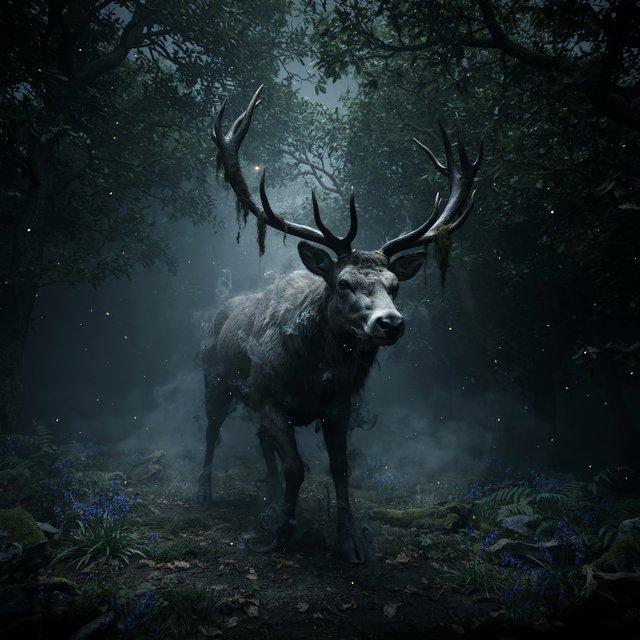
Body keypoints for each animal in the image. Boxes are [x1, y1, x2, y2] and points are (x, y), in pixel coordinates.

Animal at [198, 86, 482, 563]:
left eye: (394, 285)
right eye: (344, 282)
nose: (391, 323)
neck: (312, 373)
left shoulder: (339, 405)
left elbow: (340, 467)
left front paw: (349, 542)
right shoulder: (271, 397)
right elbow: (297, 467)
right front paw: (281, 534)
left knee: (259, 443)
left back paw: (268, 500)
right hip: (214, 378)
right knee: (212, 429)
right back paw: (204, 494)